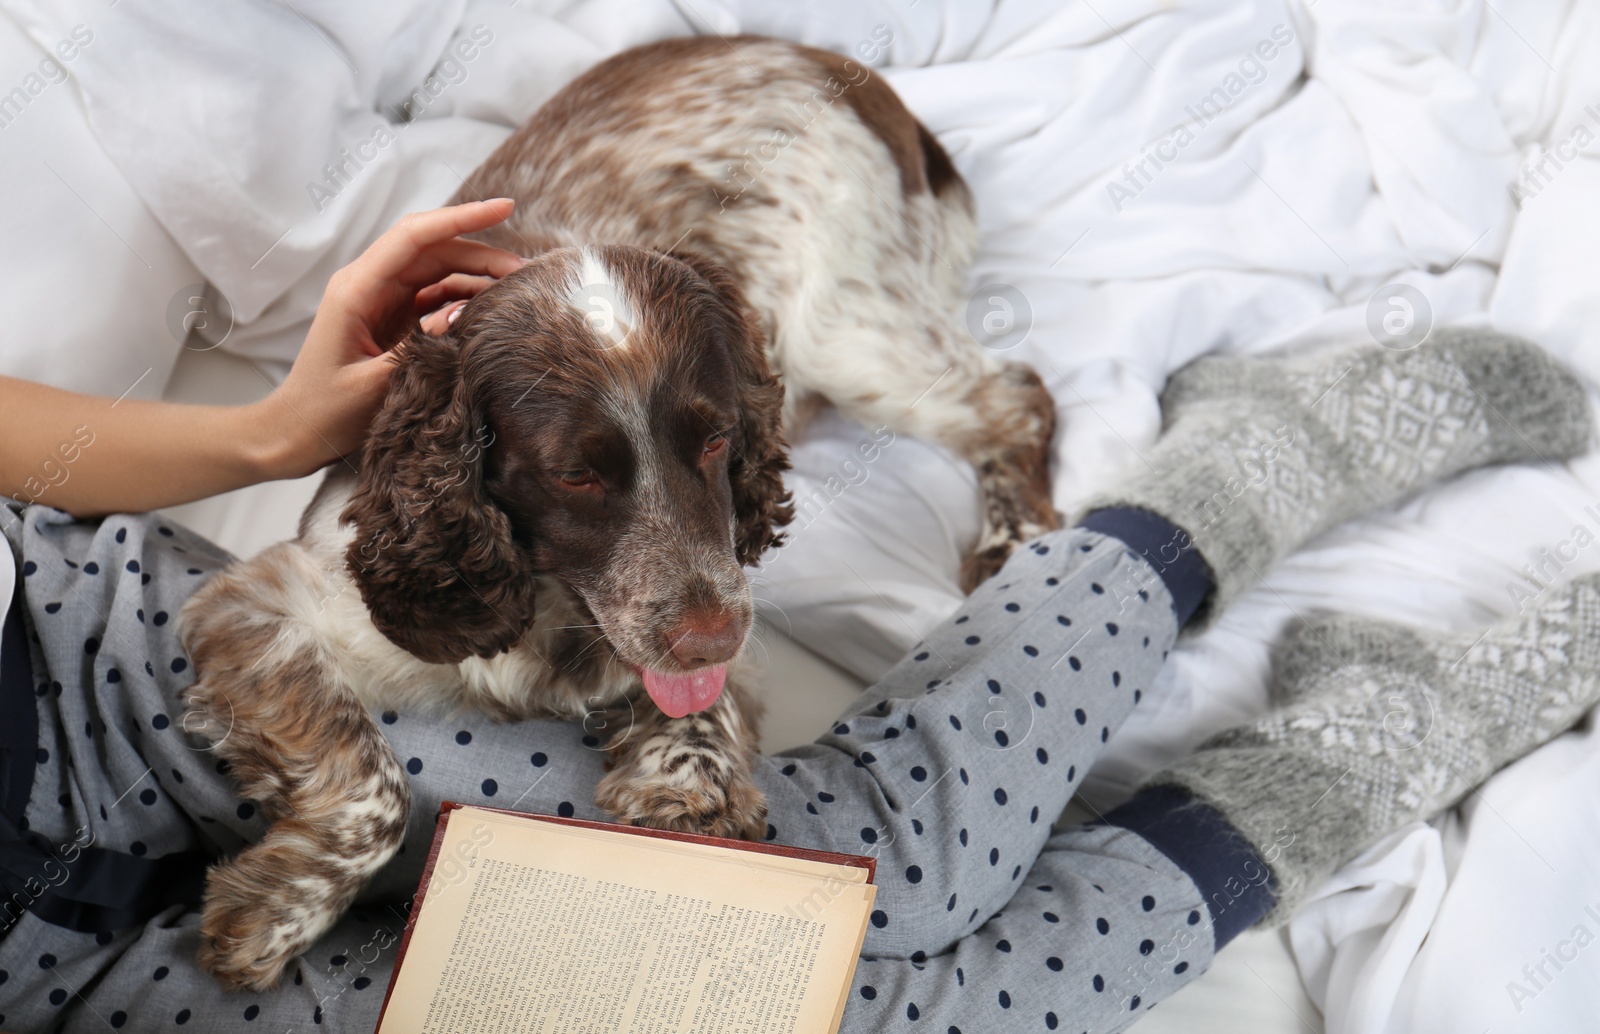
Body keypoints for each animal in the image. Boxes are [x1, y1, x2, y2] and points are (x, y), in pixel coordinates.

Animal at [175, 34, 1056, 998]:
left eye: (719, 441)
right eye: (576, 476)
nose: (709, 638)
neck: (547, 604)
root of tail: (824, 59)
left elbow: (704, 720)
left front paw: (685, 782)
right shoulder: (266, 608)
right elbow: (373, 783)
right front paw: (276, 909)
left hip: (848, 333)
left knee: (1016, 395)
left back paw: (1018, 541)